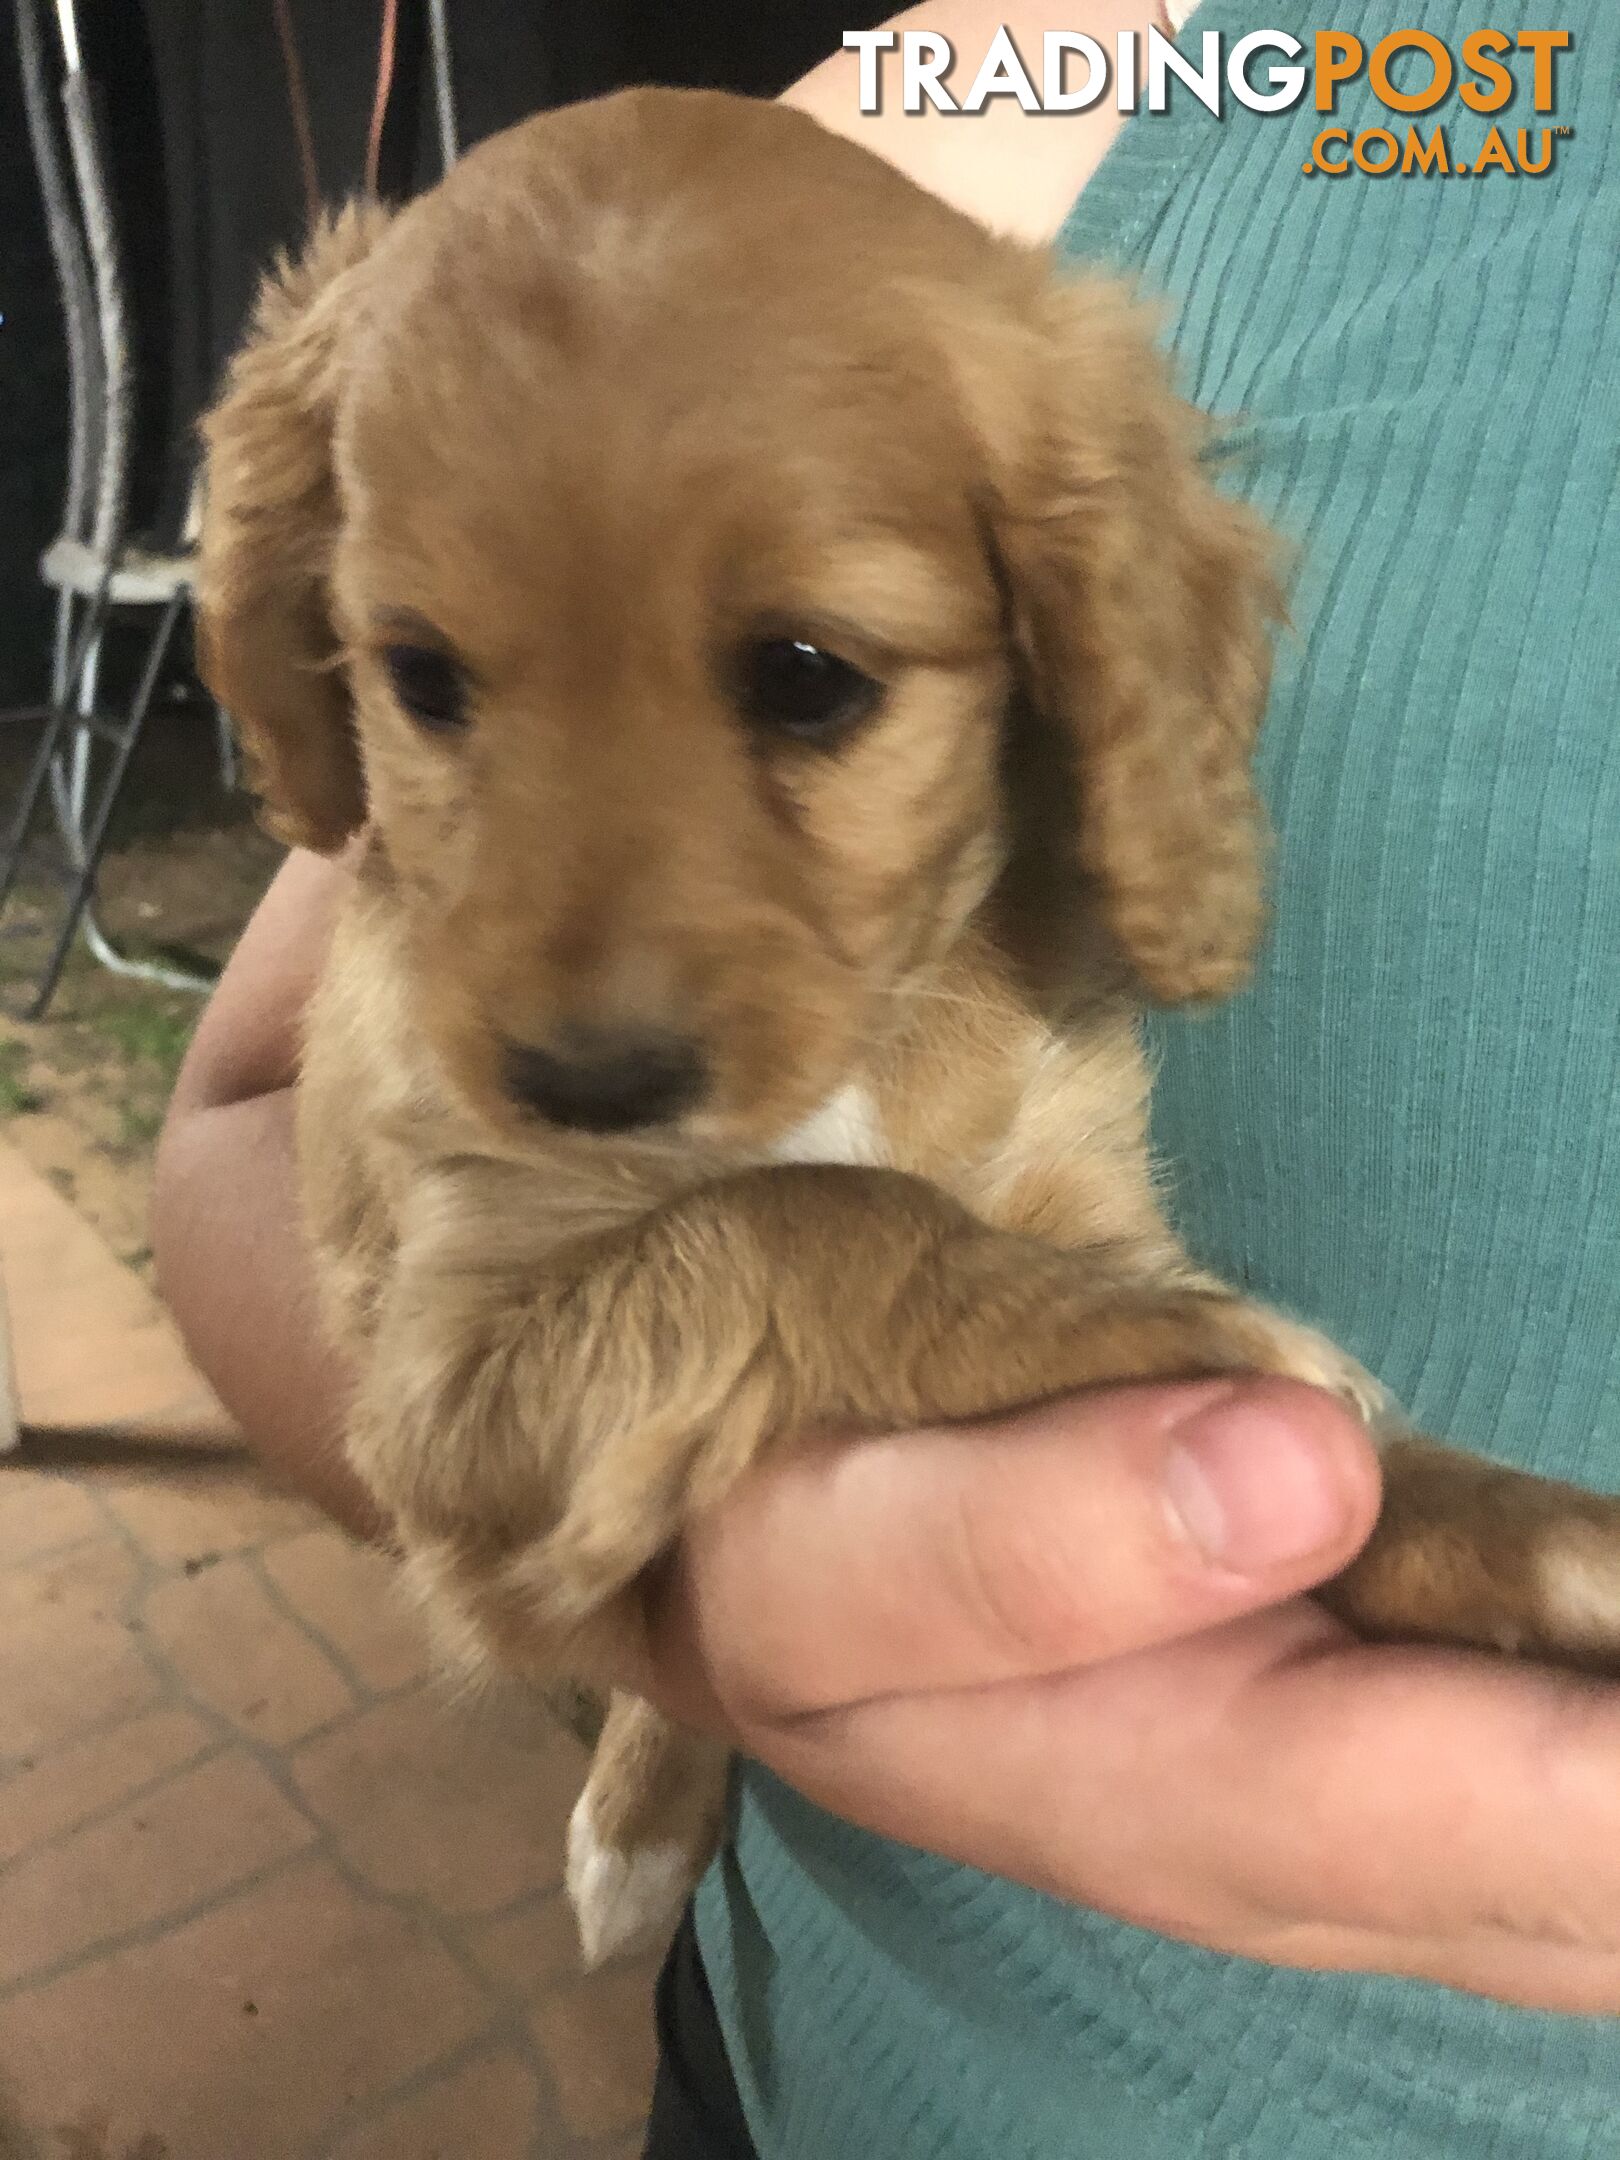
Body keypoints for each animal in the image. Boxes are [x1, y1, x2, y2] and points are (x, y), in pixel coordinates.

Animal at [196, 92, 1620, 1969]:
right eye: (419, 676)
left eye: (808, 675)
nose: (583, 1087)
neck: (869, 1040)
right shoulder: (447, 1381)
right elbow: (810, 1213)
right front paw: (1169, 1338)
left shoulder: (1067, 1167)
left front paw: (1534, 1545)